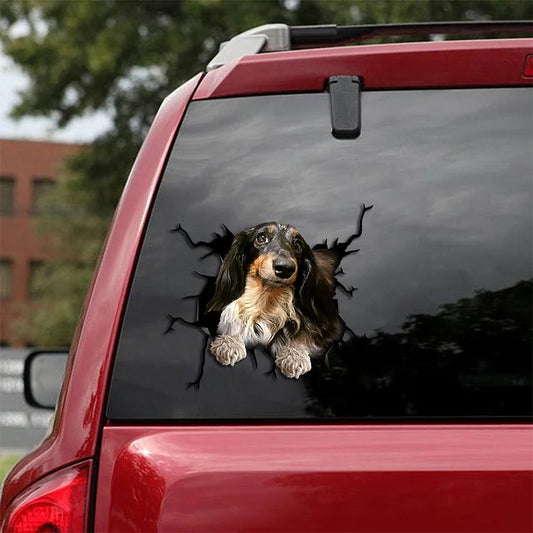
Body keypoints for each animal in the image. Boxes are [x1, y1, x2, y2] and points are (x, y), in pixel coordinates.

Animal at [206, 220, 338, 378]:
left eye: (297, 245)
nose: (285, 268)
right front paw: (229, 343)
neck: (266, 302)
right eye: (261, 238)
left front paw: (293, 356)